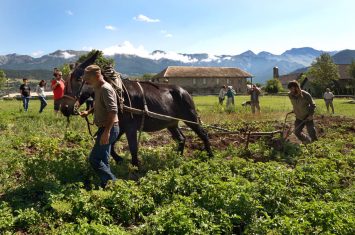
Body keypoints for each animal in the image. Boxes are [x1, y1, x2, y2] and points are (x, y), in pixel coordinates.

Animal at [60, 50, 214, 166]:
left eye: (78, 79)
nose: (64, 108)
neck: (116, 92)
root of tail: (185, 91)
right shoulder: (121, 126)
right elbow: (111, 146)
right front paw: (120, 160)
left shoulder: (130, 128)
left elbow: (133, 148)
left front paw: (135, 168)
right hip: (171, 123)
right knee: (181, 139)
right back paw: (177, 159)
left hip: (190, 118)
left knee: (203, 134)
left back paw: (210, 156)